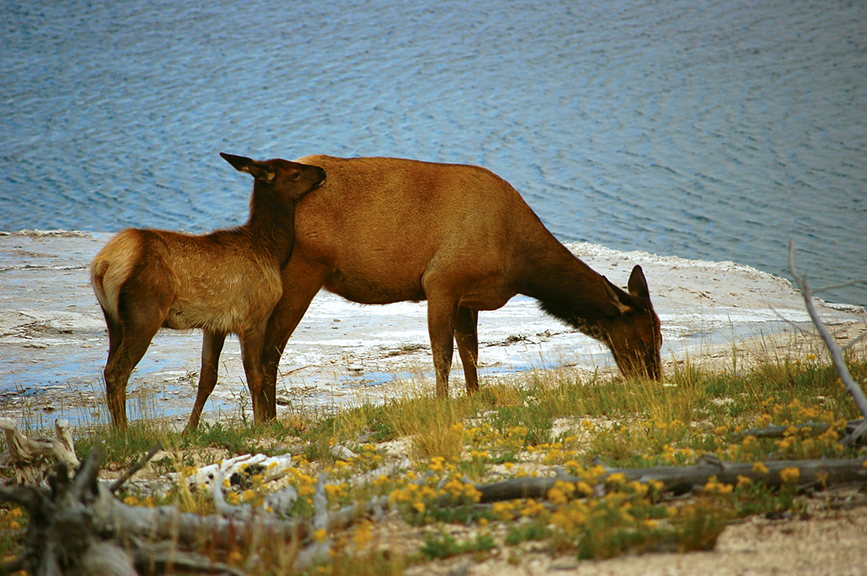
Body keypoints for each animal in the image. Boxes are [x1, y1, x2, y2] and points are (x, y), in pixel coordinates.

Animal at [90, 153, 326, 430]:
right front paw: (259, 425)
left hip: (113, 319)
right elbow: (255, 375)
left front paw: (189, 430)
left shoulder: (216, 325)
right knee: (119, 370)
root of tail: (104, 264)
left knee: (108, 368)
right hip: (144, 313)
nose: (321, 171)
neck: (271, 253)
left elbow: (207, 380)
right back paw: (125, 432)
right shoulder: (253, 318)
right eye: (295, 173)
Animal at [241, 155, 662, 422]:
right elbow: (442, 354)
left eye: (659, 340)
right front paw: (441, 402)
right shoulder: (441, 281)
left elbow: (471, 354)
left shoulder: (468, 296)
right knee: (269, 348)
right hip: (304, 270)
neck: (517, 264)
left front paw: (475, 397)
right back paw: (267, 419)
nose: (656, 384)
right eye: (643, 342)